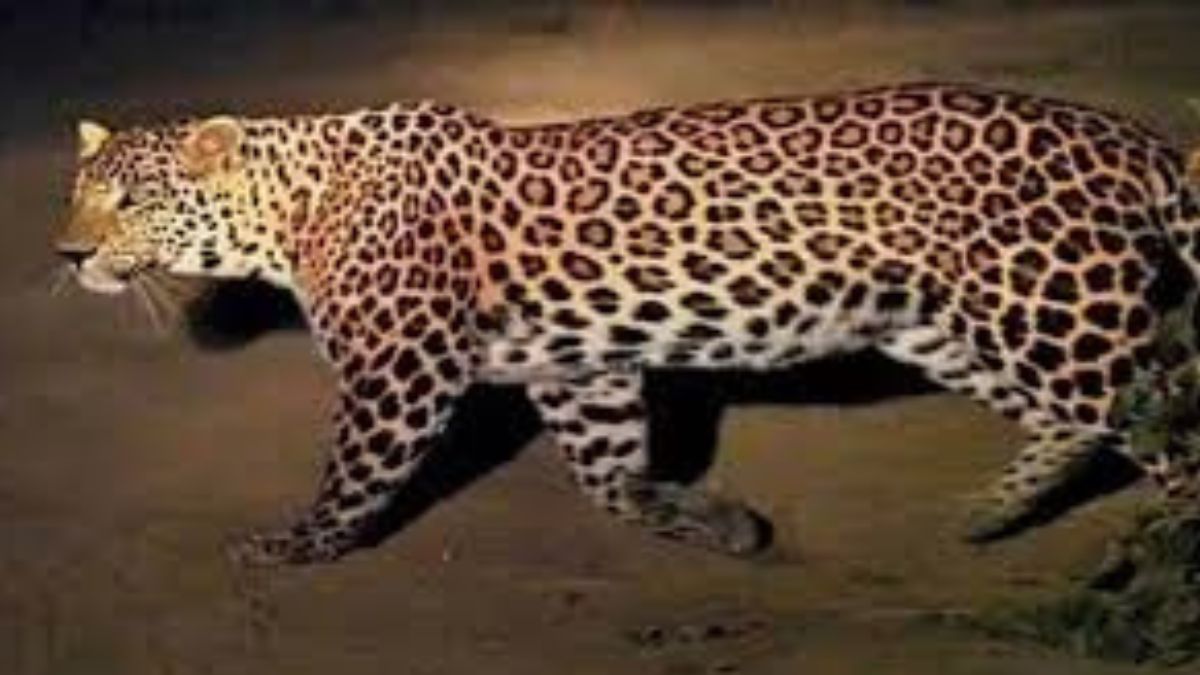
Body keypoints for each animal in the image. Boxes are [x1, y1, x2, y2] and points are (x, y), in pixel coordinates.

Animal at [56, 82, 1200, 565]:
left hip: (1049, 311)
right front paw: (712, 521)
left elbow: (357, 472)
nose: (67, 253)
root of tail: (1123, 134)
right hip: (956, 324)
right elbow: (608, 479)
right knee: (1081, 422)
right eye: (78, 192)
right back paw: (988, 514)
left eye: (133, 199)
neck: (287, 210)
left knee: (1166, 420)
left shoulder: (402, 369)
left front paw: (296, 544)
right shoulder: (580, 369)